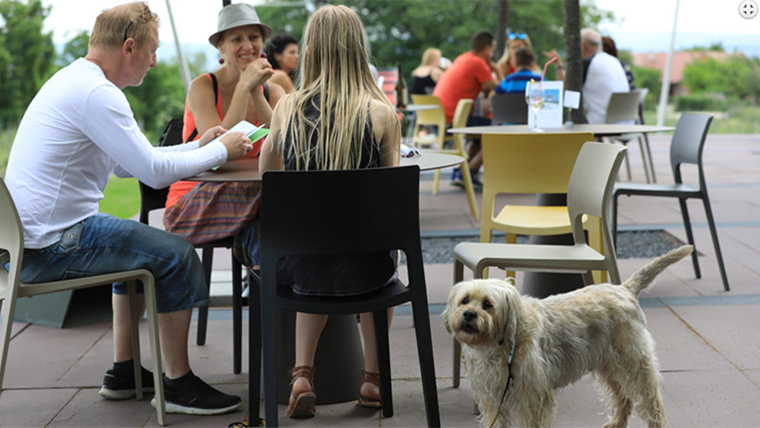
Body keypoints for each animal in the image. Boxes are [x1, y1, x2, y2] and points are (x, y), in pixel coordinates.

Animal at [440, 246, 696, 426]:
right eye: (465, 300)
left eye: (488, 304)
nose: (469, 314)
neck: (503, 343)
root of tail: (623, 289)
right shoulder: (493, 397)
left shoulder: (532, 397)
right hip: (609, 367)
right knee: (623, 397)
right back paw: (617, 422)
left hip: (634, 364)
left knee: (651, 402)